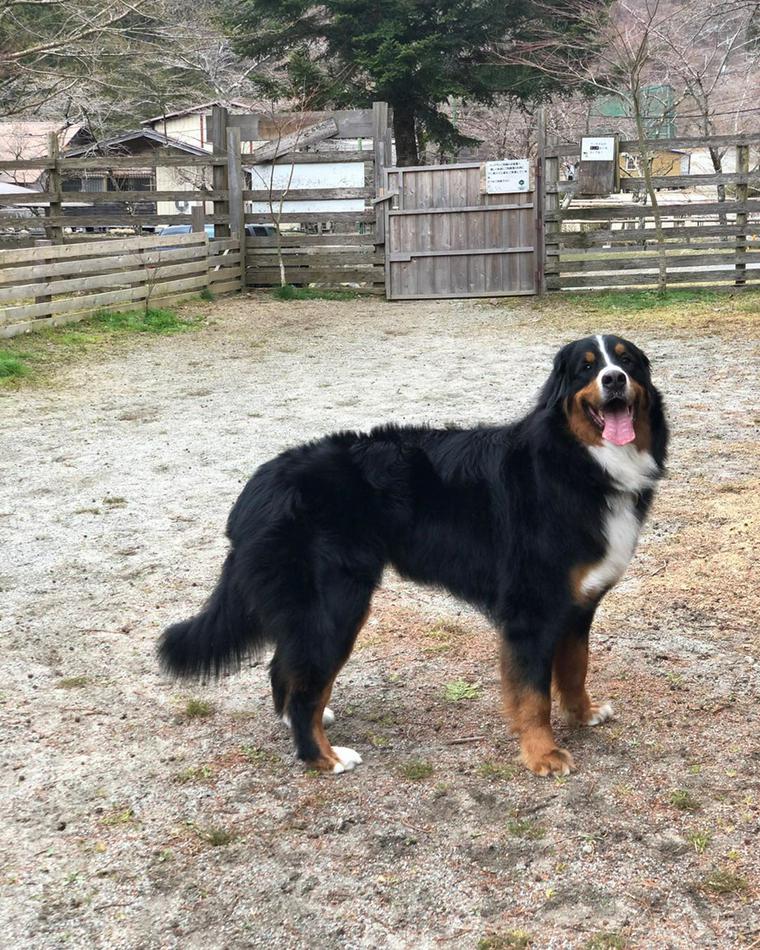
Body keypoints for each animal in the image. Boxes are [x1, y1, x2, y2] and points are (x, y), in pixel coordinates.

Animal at [159, 338, 664, 776]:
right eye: (585, 368)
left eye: (627, 360)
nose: (613, 379)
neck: (576, 462)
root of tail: (259, 484)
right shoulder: (532, 611)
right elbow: (533, 694)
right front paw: (543, 754)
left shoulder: (579, 604)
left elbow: (575, 668)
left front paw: (583, 715)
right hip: (335, 605)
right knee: (304, 686)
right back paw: (323, 757)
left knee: (286, 667)